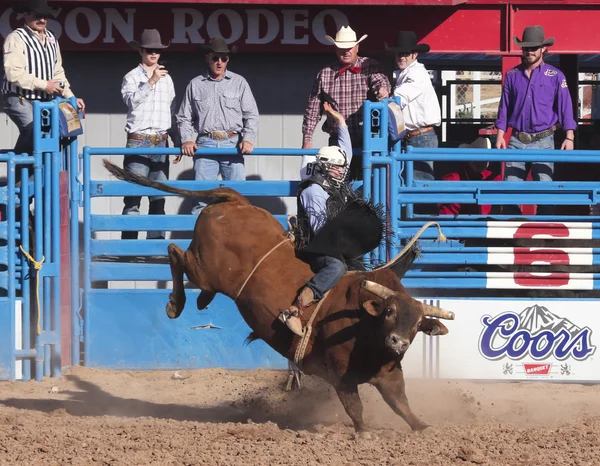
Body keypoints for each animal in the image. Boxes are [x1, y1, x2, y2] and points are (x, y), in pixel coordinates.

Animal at [103, 161, 454, 434]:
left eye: (418, 324)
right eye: (389, 311)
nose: (398, 342)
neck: (363, 323)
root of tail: (236, 201)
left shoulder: (390, 373)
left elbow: (400, 404)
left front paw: (423, 427)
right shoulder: (340, 375)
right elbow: (355, 407)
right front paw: (364, 432)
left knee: (184, 262)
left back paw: (201, 301)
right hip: (206, 266)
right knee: (175, 252)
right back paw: (176, 305)